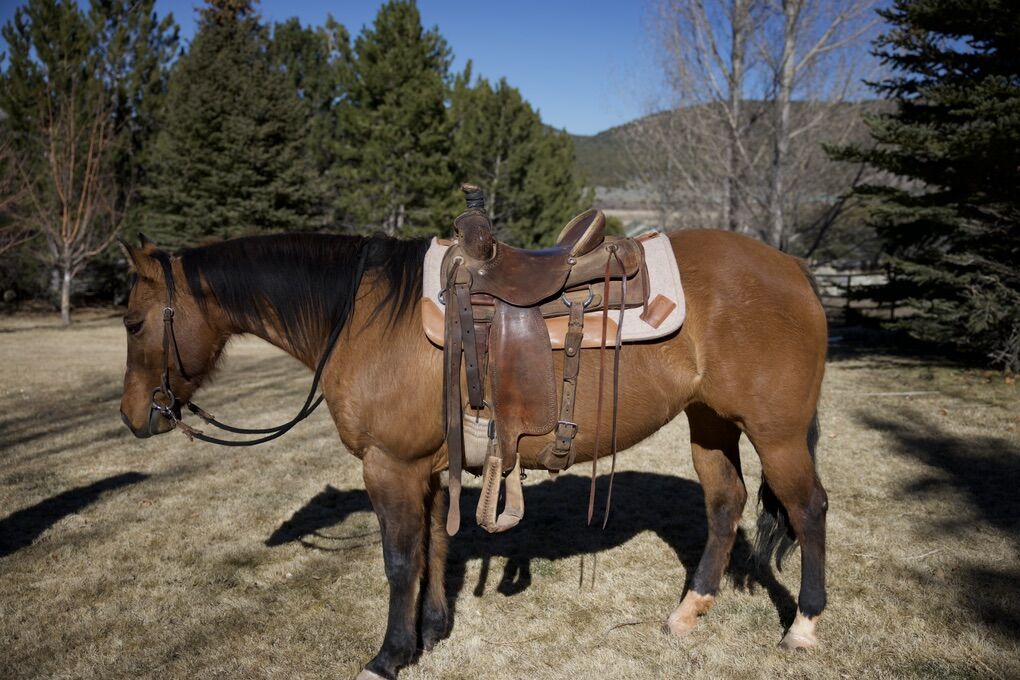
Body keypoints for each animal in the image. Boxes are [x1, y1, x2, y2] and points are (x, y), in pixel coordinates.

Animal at [117, 228, 828, 680]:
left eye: (131, 321)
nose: (132, 417)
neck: (364, 316)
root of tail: (793, 267)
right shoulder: (429, 468)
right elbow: (435, 546)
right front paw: (431, 633)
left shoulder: (389, 466)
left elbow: (400, 560)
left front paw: (388, 656)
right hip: (711, 422)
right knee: (725, 503)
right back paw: (688, 612)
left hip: (777, 431)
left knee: (809, 509)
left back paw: (803, 626)